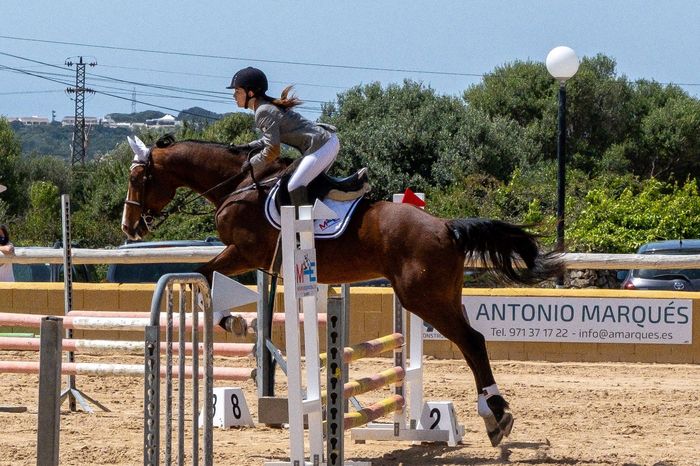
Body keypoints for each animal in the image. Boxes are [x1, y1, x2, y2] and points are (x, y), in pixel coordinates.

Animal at [123, 135, 568, 448]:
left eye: (137, 178)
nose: (130, 227)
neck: (240, 184)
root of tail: (446, 227)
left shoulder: (244, 251)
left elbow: (206, 272)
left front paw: (233, 322)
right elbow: (209, 274)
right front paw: (238, 323)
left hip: (423, 298)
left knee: (471, 341)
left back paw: (496, 415)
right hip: (441, 295)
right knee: (472, 340)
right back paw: (494, 415)